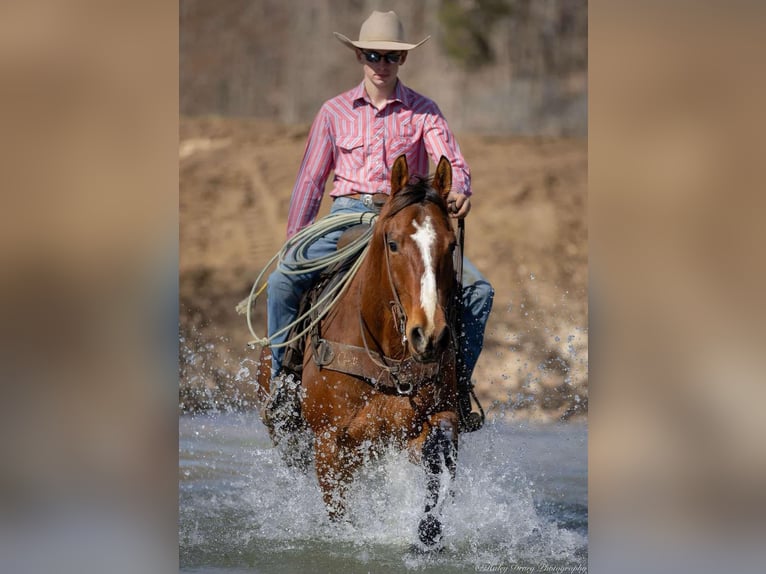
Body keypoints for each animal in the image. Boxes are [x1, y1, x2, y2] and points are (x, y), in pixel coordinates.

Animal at [258, 155, 462, 552]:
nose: (429, 335)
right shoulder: (328, 443)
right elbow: (339, 511)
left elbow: (438, 454)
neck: (386, 360)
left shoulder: (430, 422)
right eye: (393, 244)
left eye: (451, 245)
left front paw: (428, 534)